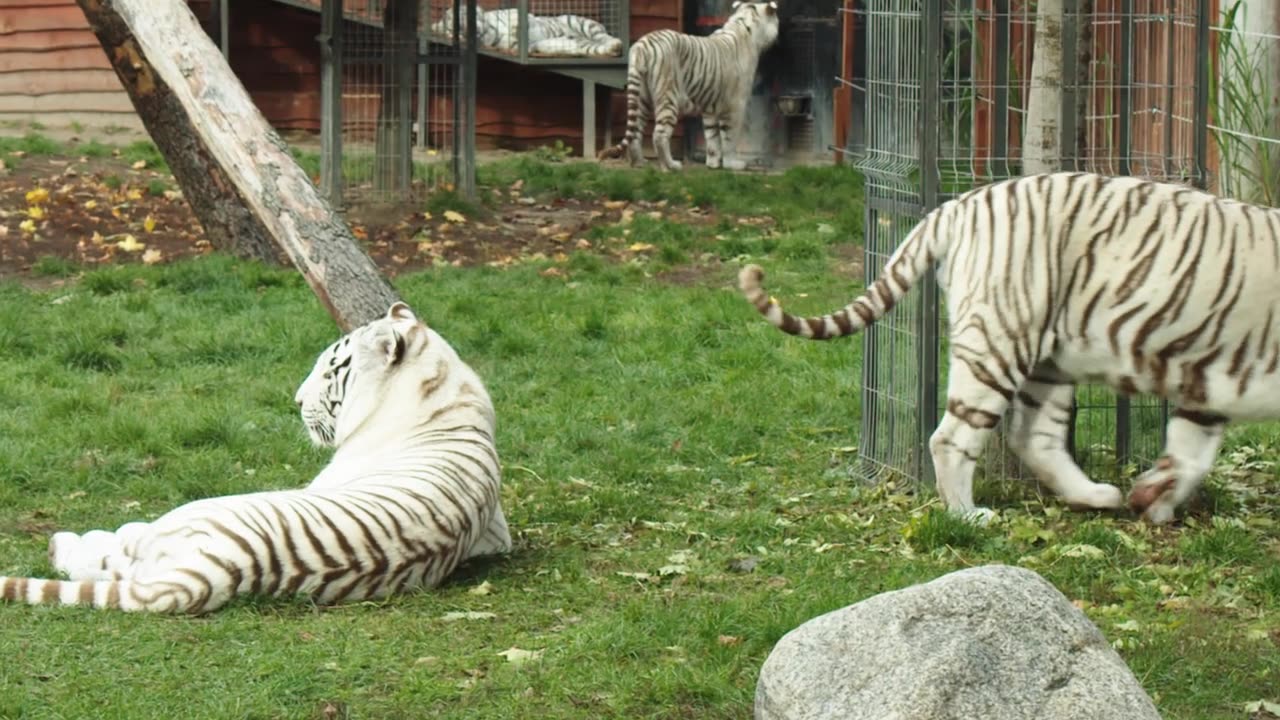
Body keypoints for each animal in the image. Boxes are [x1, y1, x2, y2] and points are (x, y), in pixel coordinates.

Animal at [1, 301, 509, 609]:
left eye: (331, 370)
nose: (297, 400)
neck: (444, 386)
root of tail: (218, 569)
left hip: (185, 517)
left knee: (118, 554)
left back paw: (65, 543)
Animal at [432, 7, 627, 58]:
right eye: (454, 30)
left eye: (463, 16)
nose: (466, 28)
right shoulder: (518, 47)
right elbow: (539, 45)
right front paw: (566, 45)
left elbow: (520, 18)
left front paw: (515, 26)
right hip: (589, 46)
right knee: (600, 47)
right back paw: (614, 47)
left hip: (578, 21)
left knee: (603, 35)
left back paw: (615, 41)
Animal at [596, 0, 778, 170]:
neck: (744, 24)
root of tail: (642, 44)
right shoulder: (735, 105)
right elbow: (729, 137)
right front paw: (733, 164)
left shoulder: (710, 107)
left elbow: (712, 137)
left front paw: (713, 164)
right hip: (668, 96)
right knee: (659, 135)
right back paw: (670, 166)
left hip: (642, 98)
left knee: (636, 133)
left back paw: (640, 163)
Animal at [737, 170, 1280, 525]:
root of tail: (956, 205)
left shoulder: (1205, 381)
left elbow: (1190, 455)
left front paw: (1154, 500)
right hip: (1000, 340)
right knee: (951, 436)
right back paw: (967, 516)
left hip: (1050, 357)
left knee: (1033, 436)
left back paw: (1097, 496)